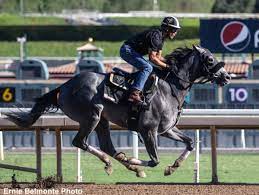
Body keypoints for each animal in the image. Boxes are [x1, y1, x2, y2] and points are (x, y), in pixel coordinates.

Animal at [6, 45, 232, 177]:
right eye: (210, 60)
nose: (227, 76)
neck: (170, 88)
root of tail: (63, 86)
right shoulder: (147, 130)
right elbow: (154, 160)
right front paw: (135, 160)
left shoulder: (166, 129)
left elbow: (190, 142)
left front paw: (172, 167)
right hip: (92, 115)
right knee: (80, 142)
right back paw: (119, 163)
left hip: (103, 121)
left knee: (107, 146)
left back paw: (126, 165)